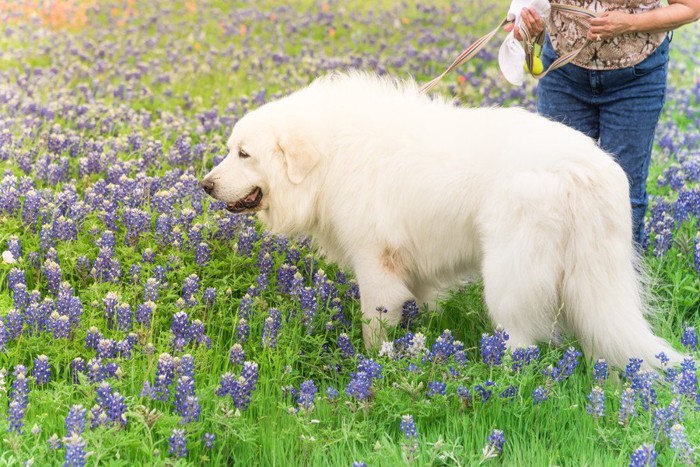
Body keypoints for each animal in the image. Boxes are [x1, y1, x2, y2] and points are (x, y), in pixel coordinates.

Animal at [202, 71, 684, 370]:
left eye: (244, 154)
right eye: (231, 149)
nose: (205, 185)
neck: (330, 157)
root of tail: (585, 169)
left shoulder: (375, 263)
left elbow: (375, 325)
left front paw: (373, 365)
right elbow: (419, 310)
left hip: (509, 278)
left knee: (520, 343)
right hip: (594, 280)